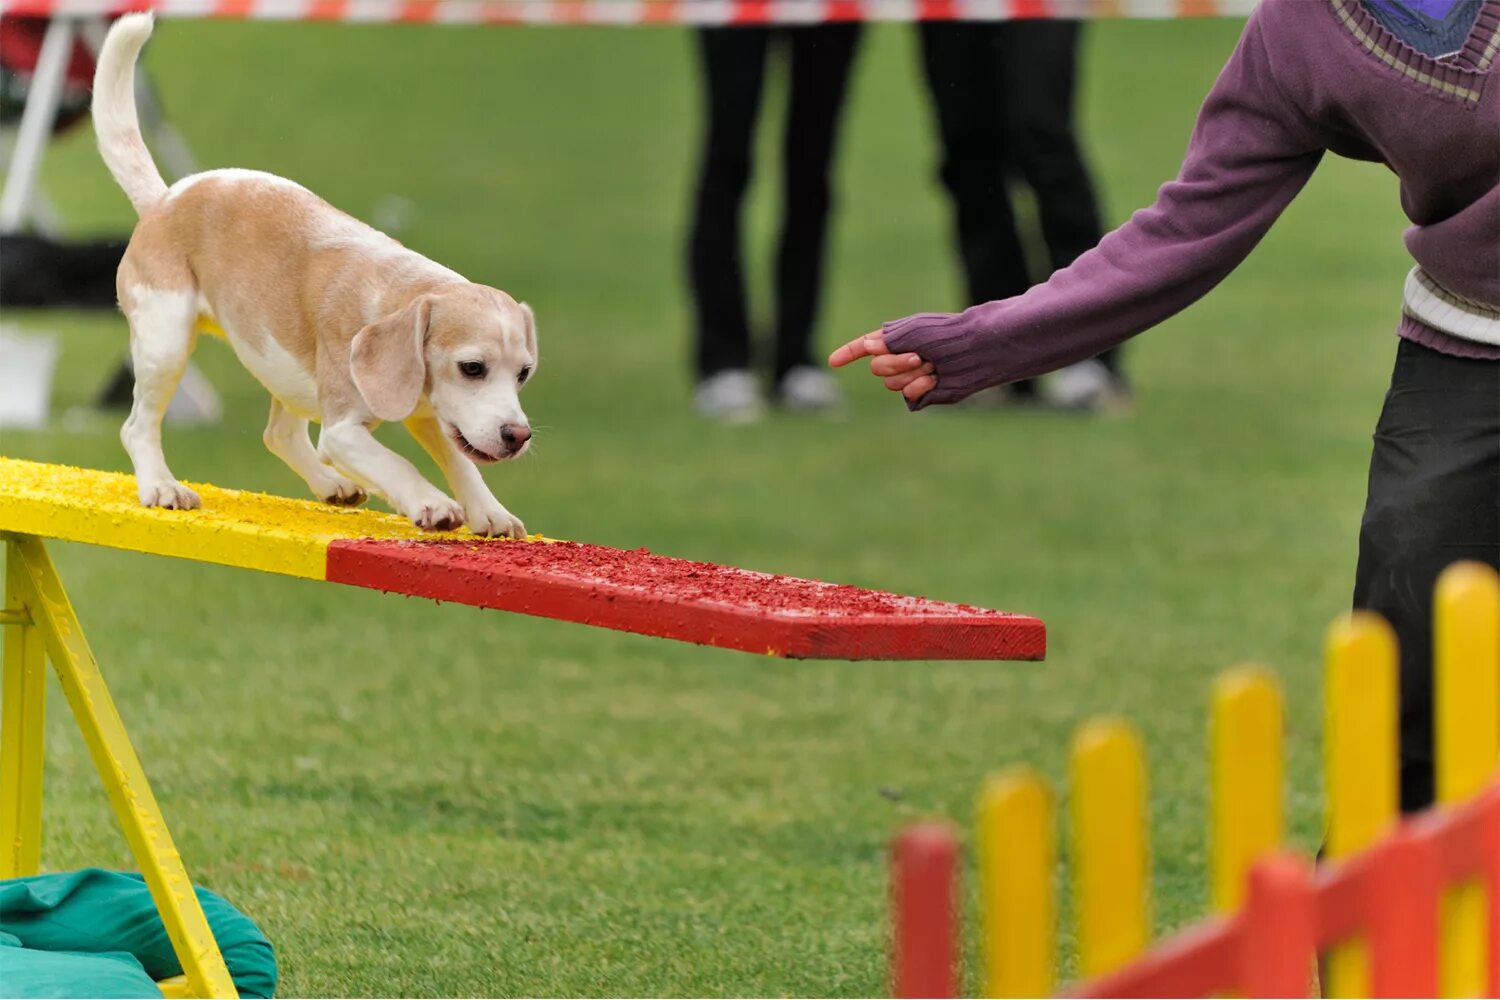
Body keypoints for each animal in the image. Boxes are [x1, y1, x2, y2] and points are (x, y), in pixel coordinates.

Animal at [92, 11, 534, 536]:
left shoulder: (432, 413)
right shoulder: (342, 431)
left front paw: (492, 512)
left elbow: (461, 461)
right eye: (472, 368)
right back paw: (161, 487)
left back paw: (331, 485)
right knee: (137, 426)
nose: (519, 435)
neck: (397, 292)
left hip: (281, 370)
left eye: (524, 373)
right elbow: (399, 463)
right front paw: (431, 503)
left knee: (277, 434)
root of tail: (165, 198)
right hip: (167, 344)